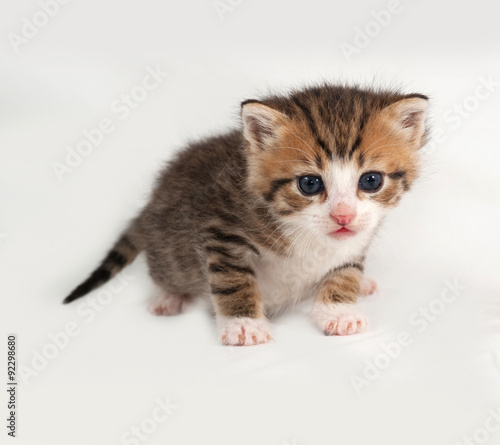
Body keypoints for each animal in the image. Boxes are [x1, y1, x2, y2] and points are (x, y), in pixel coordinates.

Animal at [62, 84, 430, 346]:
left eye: (371, 180)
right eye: (309, 184)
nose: (343, 216)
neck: (306, 233)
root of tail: (152, 201)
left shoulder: (356, 240)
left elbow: (345, 271)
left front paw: (339, 311)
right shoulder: (221, 230)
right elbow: (232, 280)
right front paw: (243, 325)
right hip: (169, 249)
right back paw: (169, 296)